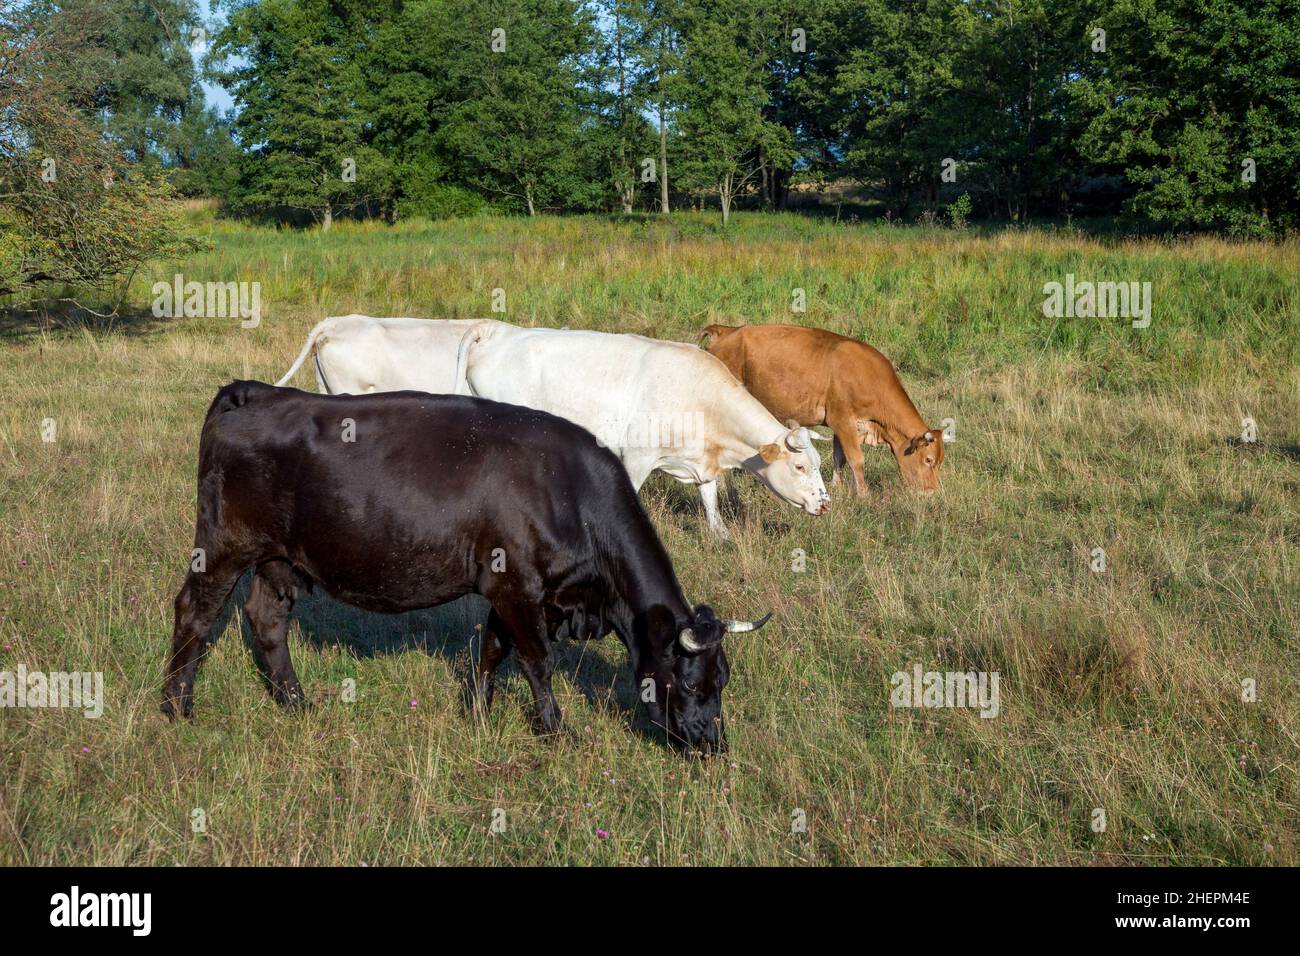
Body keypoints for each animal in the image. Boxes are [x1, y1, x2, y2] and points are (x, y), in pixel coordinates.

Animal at [161, 381, 771, 753]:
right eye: (690, 682)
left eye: (723, 679)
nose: (712, 742)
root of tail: (257, 393)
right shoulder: (518, 587)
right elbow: (536, 661)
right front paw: (556, 732)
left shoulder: (513, 592)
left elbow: (492, 652)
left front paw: (477, 716)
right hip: (223, 547)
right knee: (193, 611)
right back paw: (176, 709)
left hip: (279, 560)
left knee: (267, 621)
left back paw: (296, 704)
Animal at [452, 321, 831, 538]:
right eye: (800, 467)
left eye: (819, 465)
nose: (826, 505)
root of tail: (498, 331)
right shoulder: (636, 457)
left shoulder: (702, 460)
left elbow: (710, 500)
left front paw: (721, 536)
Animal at [701, 324, 945, 497]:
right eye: (928, 460)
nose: (932, 492)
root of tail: (726, 330)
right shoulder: (843, 419)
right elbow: (856, 459)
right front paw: (864, 495)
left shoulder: (843, 424)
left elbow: (839, 457)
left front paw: (837, 486)